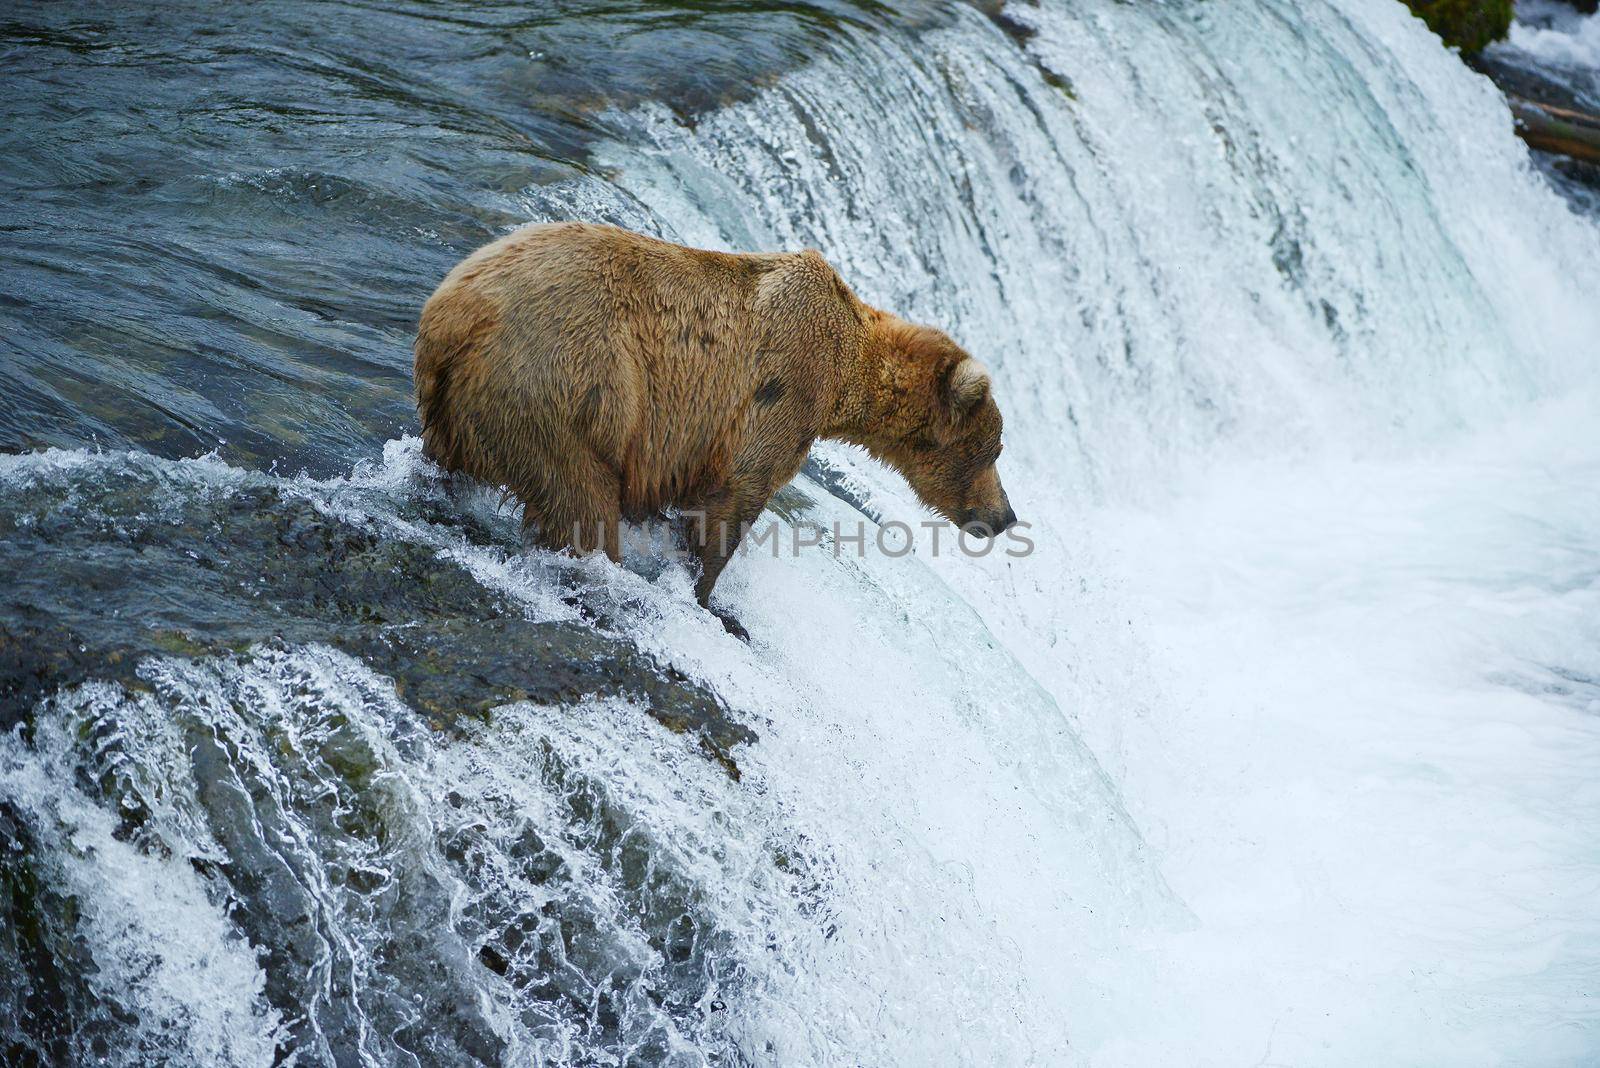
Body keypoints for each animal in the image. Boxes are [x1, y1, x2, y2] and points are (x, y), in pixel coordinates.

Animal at [412, 219, 1011, 617]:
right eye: (992, 450)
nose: (1005, 516)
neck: (846, 372)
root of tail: (454, 314)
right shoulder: (782, 393)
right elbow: (732, 500)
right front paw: (706, 596)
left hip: (458, 410)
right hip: (565, 391)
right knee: (580, 499)